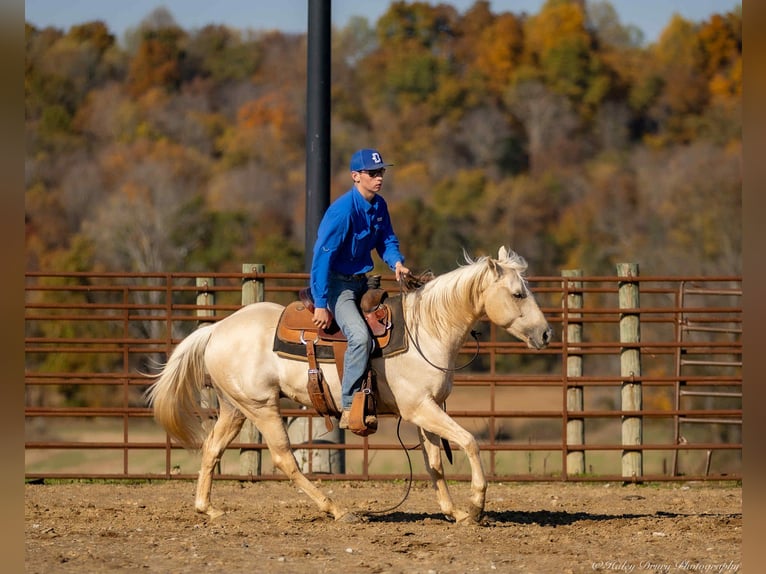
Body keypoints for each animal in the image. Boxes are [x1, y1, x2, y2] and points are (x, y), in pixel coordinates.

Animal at [146, 246, 552, 524]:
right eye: (518, 293)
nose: (546, 333)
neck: (427, 330)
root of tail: (216, 329)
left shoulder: (429, 411)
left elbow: (434, 460)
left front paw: (453, 512)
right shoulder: (420, 409)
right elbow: (469, 441)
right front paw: (476, 505)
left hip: (235, 407)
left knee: (212, 448)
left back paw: (208, 508)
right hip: (262, 408)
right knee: (283, 458)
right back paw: (337, 509)